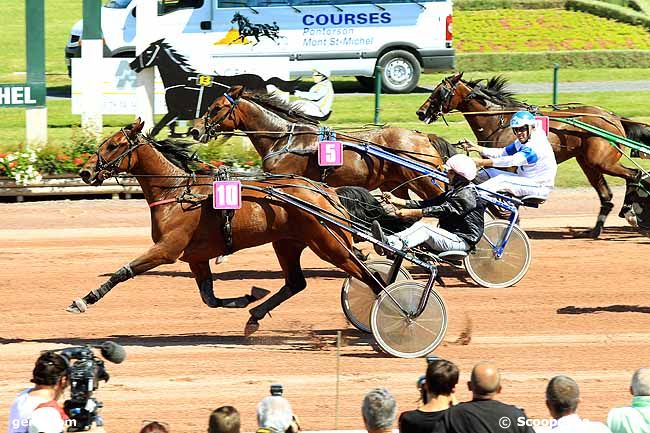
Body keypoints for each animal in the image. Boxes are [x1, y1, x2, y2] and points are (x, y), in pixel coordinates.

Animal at [69, 120, 390, 332]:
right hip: (288, 243)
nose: (85, 172)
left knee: (372, 278)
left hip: (330, 245)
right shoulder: (196, 258)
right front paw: (248, 296)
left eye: (112, 145)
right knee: (296, 283)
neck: (177, 192)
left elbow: (124, 271)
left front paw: (85, 300)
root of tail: (326, 191)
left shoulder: (166, 250)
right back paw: (256, 314)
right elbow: (210, 298)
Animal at [189, 85, 456, 200]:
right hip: (396, 185)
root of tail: (423, 136)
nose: (194, 129)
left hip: (425, 182)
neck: (284, 138)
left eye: (216, 108)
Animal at [416, 72, 648, 238]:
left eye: (440, 92)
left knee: (634, 175)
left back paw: (629, 213)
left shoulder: (508, 166)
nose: (421, 112)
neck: (500, 120)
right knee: (606, 195)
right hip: (587, 163)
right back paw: (594, 231)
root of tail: (614, 117)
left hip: (601, 161)